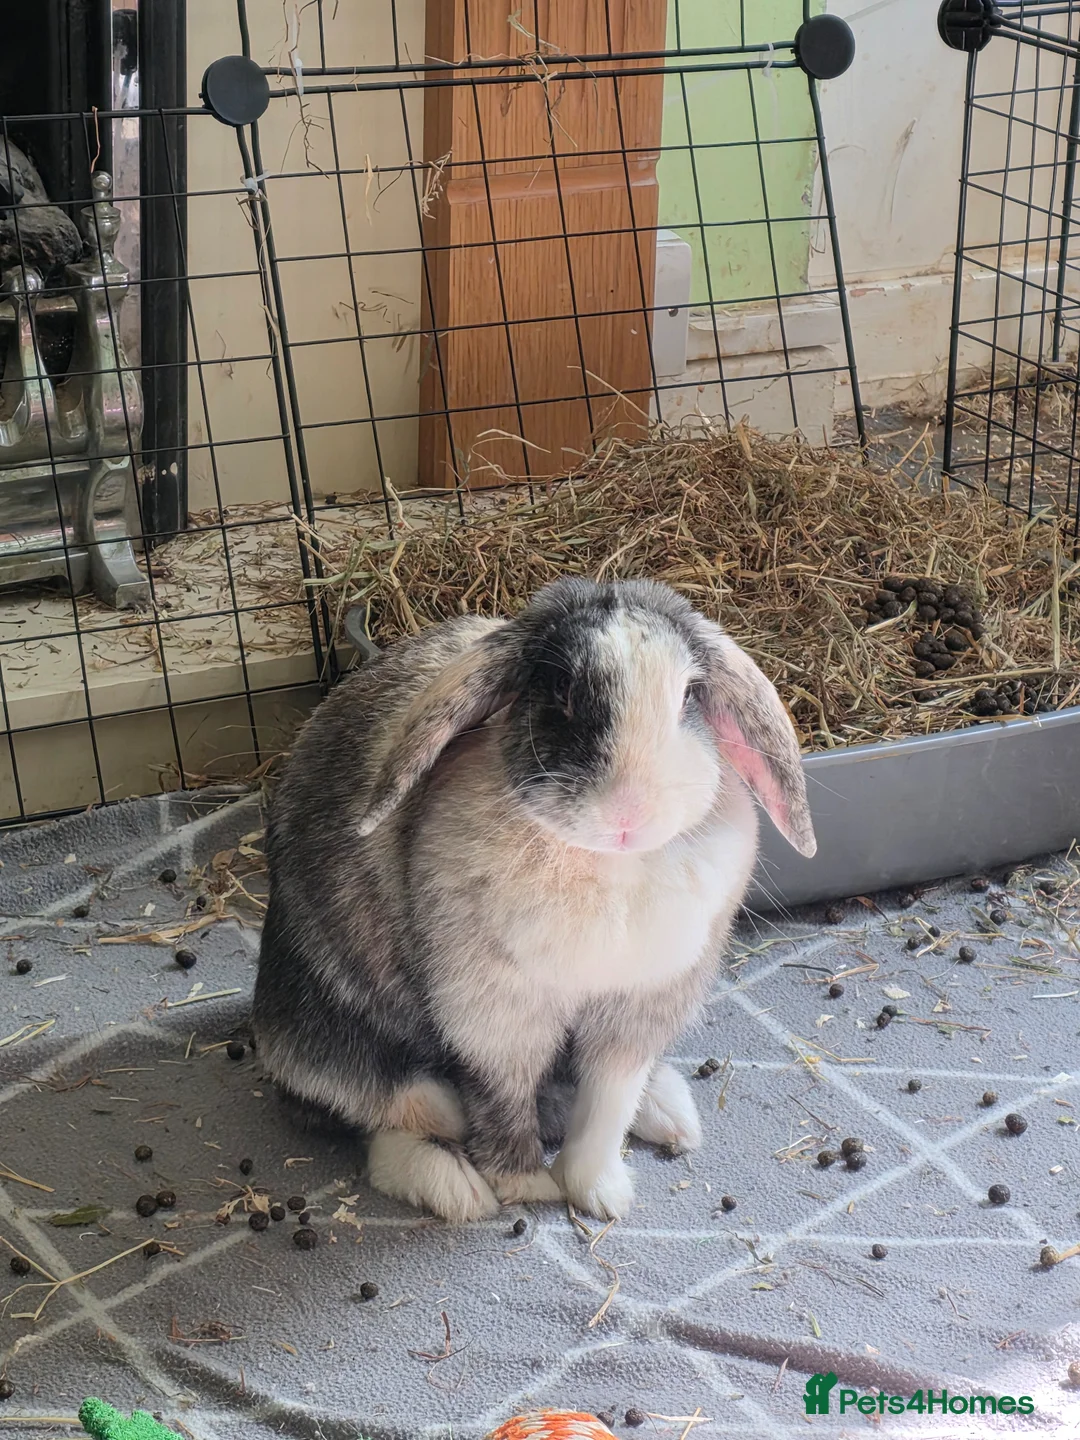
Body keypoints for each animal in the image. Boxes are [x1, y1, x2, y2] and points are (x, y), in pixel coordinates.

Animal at [252, 576, 815, 1222]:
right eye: (562, 689)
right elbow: (504, 1099)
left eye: (688, 697)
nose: (628, 814)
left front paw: (601, 1193)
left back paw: (670, 1116)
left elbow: (606, 1105)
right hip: (353, 1055)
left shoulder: (635, 1015)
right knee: (392, 1123)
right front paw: (526, 1186)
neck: (607, 863)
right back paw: (458, 1189)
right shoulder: (496, 1018)